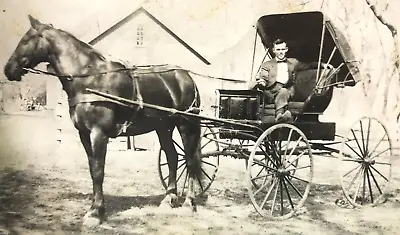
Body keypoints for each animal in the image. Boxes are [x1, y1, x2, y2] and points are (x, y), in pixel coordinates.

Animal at [5, 15, 206, 226]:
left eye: (26, 40)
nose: (8, 69)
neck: (89, 79)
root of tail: (186, 77)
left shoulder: (99, 134)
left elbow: (99, 171)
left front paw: (96, 213)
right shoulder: (84, 134)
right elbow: (93, 169)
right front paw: (94, 209)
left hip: (187, 125)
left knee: (190, 160)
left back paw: (189, 203)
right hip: (163, 128)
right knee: (173, 157)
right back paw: (168, 200)